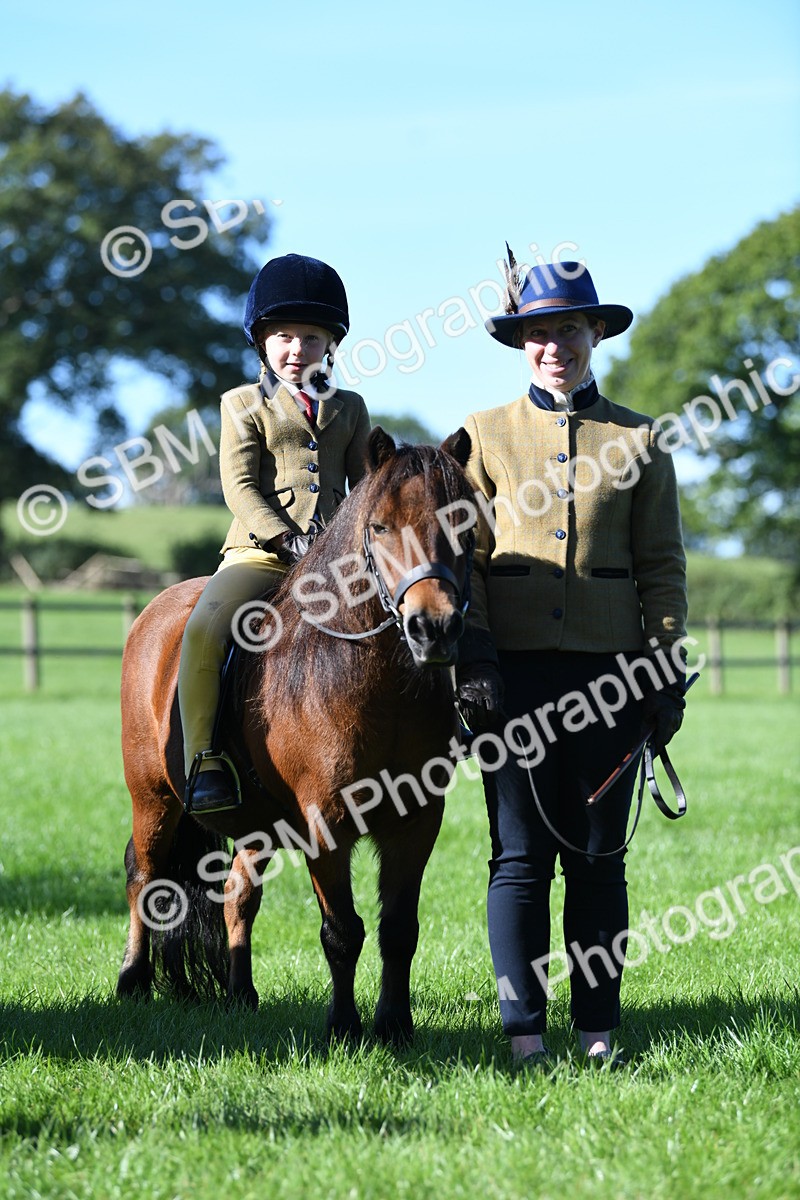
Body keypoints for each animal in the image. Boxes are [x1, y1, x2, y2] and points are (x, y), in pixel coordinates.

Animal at [116, 425, 475, 1045]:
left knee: (238, 894)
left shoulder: (417, 821)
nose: (434, 628)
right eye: (379, 527)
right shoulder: (325, 822)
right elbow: (343, 930)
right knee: (146, 876)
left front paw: (394, 1026)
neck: (377, 682)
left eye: (463, 523)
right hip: (153, 799)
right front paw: (344, 1029)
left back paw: (241, 994)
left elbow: (398, 929)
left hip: (255, 824)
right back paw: (132, 981)